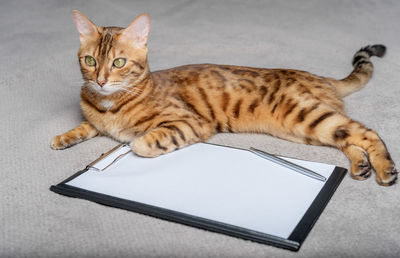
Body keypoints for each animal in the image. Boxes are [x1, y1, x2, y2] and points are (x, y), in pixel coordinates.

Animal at [50, 10, 396, 185]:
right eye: (90, 60)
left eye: (119, 62)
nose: (101, 80)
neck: (110, 106)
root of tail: (322, 78)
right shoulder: (95, 117)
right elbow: (87, 126)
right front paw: (64, 137)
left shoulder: (190, 122)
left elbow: (142, 143)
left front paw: (130, 143)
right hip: (304, 129)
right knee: (347, 139)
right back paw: (360, 166)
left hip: (305, 116)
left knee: (367, 132)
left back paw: (385, 170)